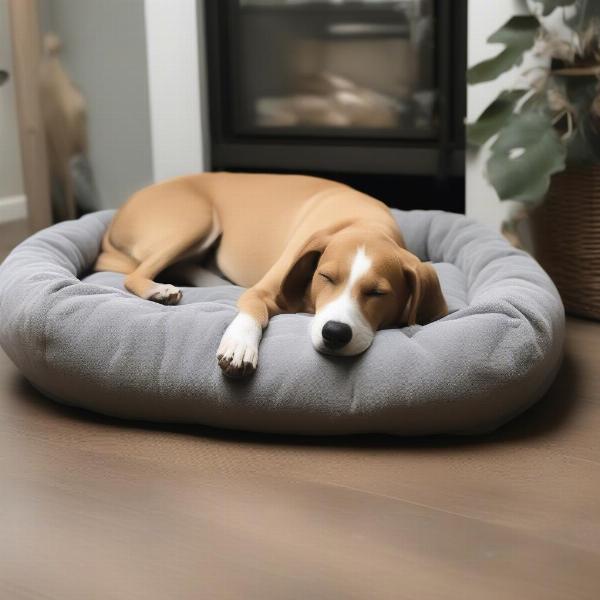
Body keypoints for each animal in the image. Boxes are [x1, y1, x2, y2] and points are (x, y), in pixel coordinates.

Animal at [95, 173, 446, 378]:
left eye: (378, 293)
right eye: (326, 278)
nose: (335, 333)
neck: (363, 223)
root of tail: (118, 214)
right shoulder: (263, 291)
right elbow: (253, 312)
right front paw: (239, 344)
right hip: (195, 220)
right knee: (136, 273)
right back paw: (158, 290)